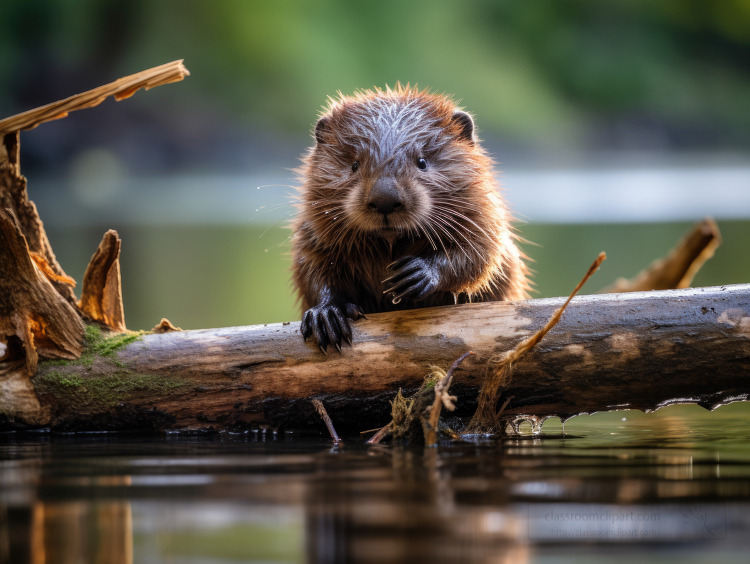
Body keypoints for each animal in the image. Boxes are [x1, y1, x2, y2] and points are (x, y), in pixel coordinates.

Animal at [290, 85, 532, 350]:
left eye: (422, 162)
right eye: (354, 164)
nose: (385, 200)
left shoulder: (480, 212)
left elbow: (481, 252)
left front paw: (414, 275)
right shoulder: (314, 228)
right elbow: (312, 265)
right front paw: (326, 314)